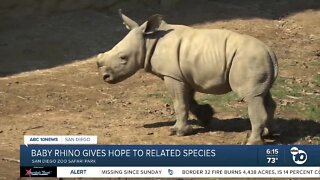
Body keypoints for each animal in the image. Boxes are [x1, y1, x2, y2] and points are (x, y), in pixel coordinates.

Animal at [97, 10, 278, 144]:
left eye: (123, 58)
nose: (105, 77)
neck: (149, 40)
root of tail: (271, 52)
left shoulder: (172, 76)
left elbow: (179, 103)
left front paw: (177, 132)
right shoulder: (183, 75)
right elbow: (188, 101)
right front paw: (206, 117)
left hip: (248, 59)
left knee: (252, 97)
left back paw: (252, 141)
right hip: (257, 60)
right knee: (263, 95)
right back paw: (267, 134)